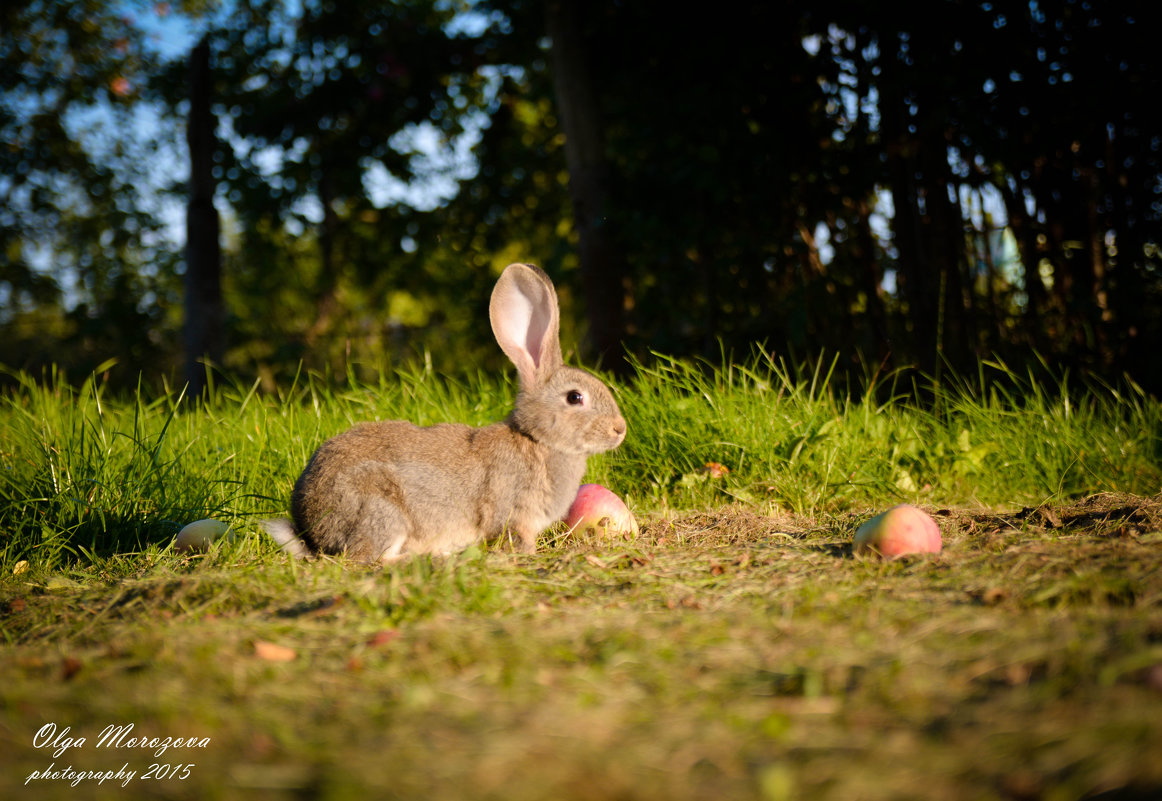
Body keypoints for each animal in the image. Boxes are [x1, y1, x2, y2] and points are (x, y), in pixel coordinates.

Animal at [266, 263, 627, 562]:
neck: (537, 440)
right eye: (575, 397)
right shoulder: (513, 512)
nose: (620, 430)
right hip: (379, 510)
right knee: (368, 557)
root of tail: (310, 527)